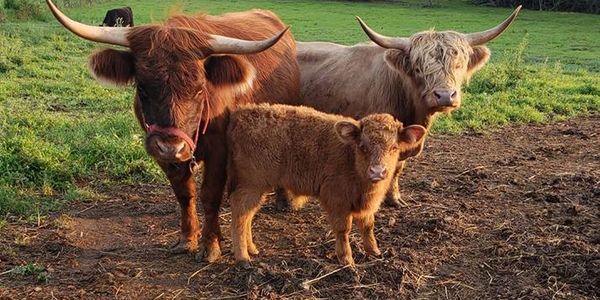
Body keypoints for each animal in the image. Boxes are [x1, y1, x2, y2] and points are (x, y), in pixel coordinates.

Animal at [226, 103, 426, 264]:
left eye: (394, 147)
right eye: (362, 146)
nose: (377, 171)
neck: (350, 159)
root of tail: (242, 113)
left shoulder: (366, 205)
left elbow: (368, 226)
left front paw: (374, 251)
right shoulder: (337, 199)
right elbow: (343, 229)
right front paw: (347, 260)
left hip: (257, 189)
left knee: (248, 216)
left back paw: (252, 249)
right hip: (250, 185)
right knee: (240, 216)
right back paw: (243, 257)